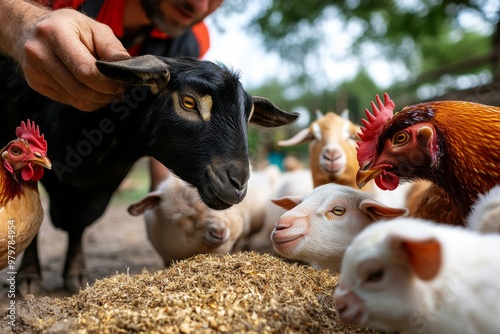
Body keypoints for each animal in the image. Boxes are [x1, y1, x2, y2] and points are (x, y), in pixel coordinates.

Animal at [0, 54, 296, 292]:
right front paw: (29, 277)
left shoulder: (103, 185)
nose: (237, 183)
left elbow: (79, 223)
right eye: (189, 102)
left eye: (248, 116)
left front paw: (76, 274)